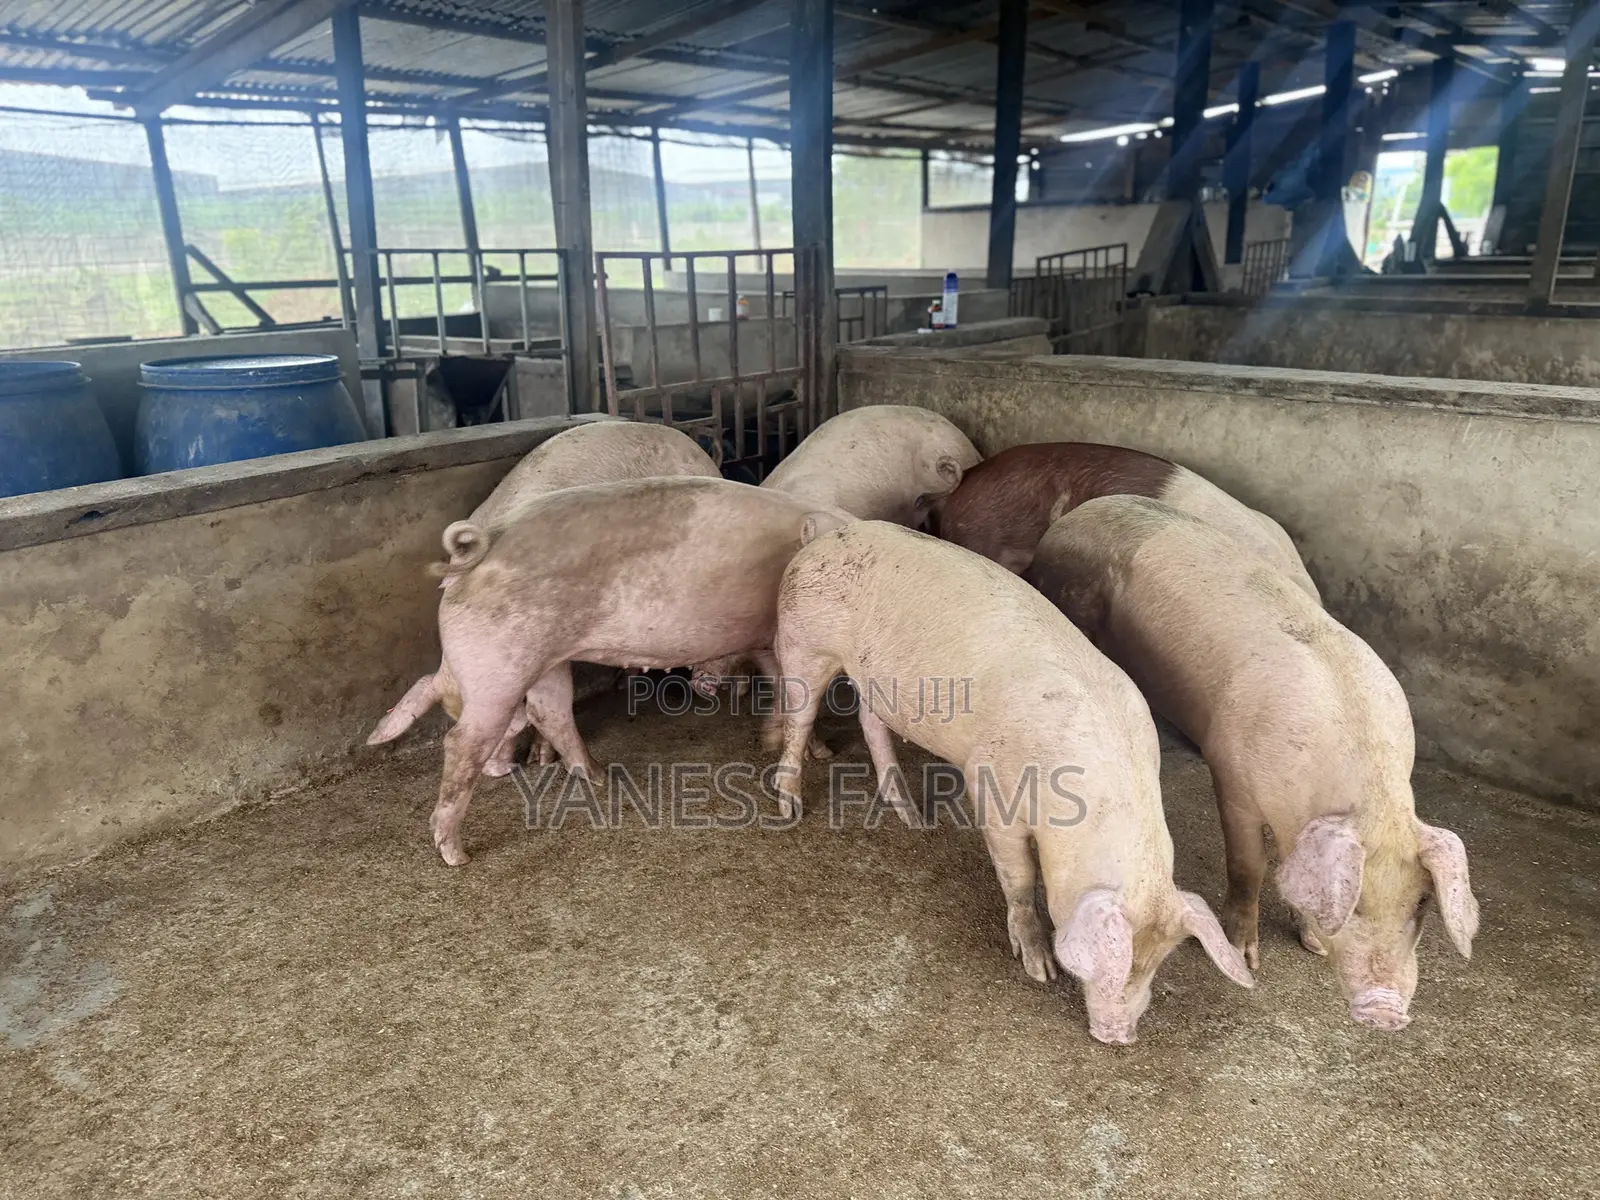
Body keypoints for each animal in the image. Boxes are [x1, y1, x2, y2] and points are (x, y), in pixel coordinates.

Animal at [383, 476, 848, 866]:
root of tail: (473, 556)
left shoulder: (767, 639)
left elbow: (782, 687)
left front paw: (807, 748)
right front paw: (819, 753)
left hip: (547, 662)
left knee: (550, 712)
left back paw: (599, 778)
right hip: (497, 670)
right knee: (462, 743)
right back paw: (456, 854)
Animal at [771, 521, 1252, 1044]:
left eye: (1156, 963)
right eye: (1108, 963)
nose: (1119, 1036)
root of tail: (832, 532)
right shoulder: (993, 792)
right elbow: (1018, 878)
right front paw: (1038, 969)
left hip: (873, 679)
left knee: (870, 721)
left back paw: (913, 817)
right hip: (802, 644)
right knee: (798, 718)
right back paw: (789, 807)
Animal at [1027, 496, 1478, 1031]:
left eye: (1422, 903)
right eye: (1356, 905)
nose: (1385, 1011)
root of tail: (1080, 514)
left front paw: (1313, 945)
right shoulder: (1231, 776)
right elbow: (1250, 865)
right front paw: (1248, 958)